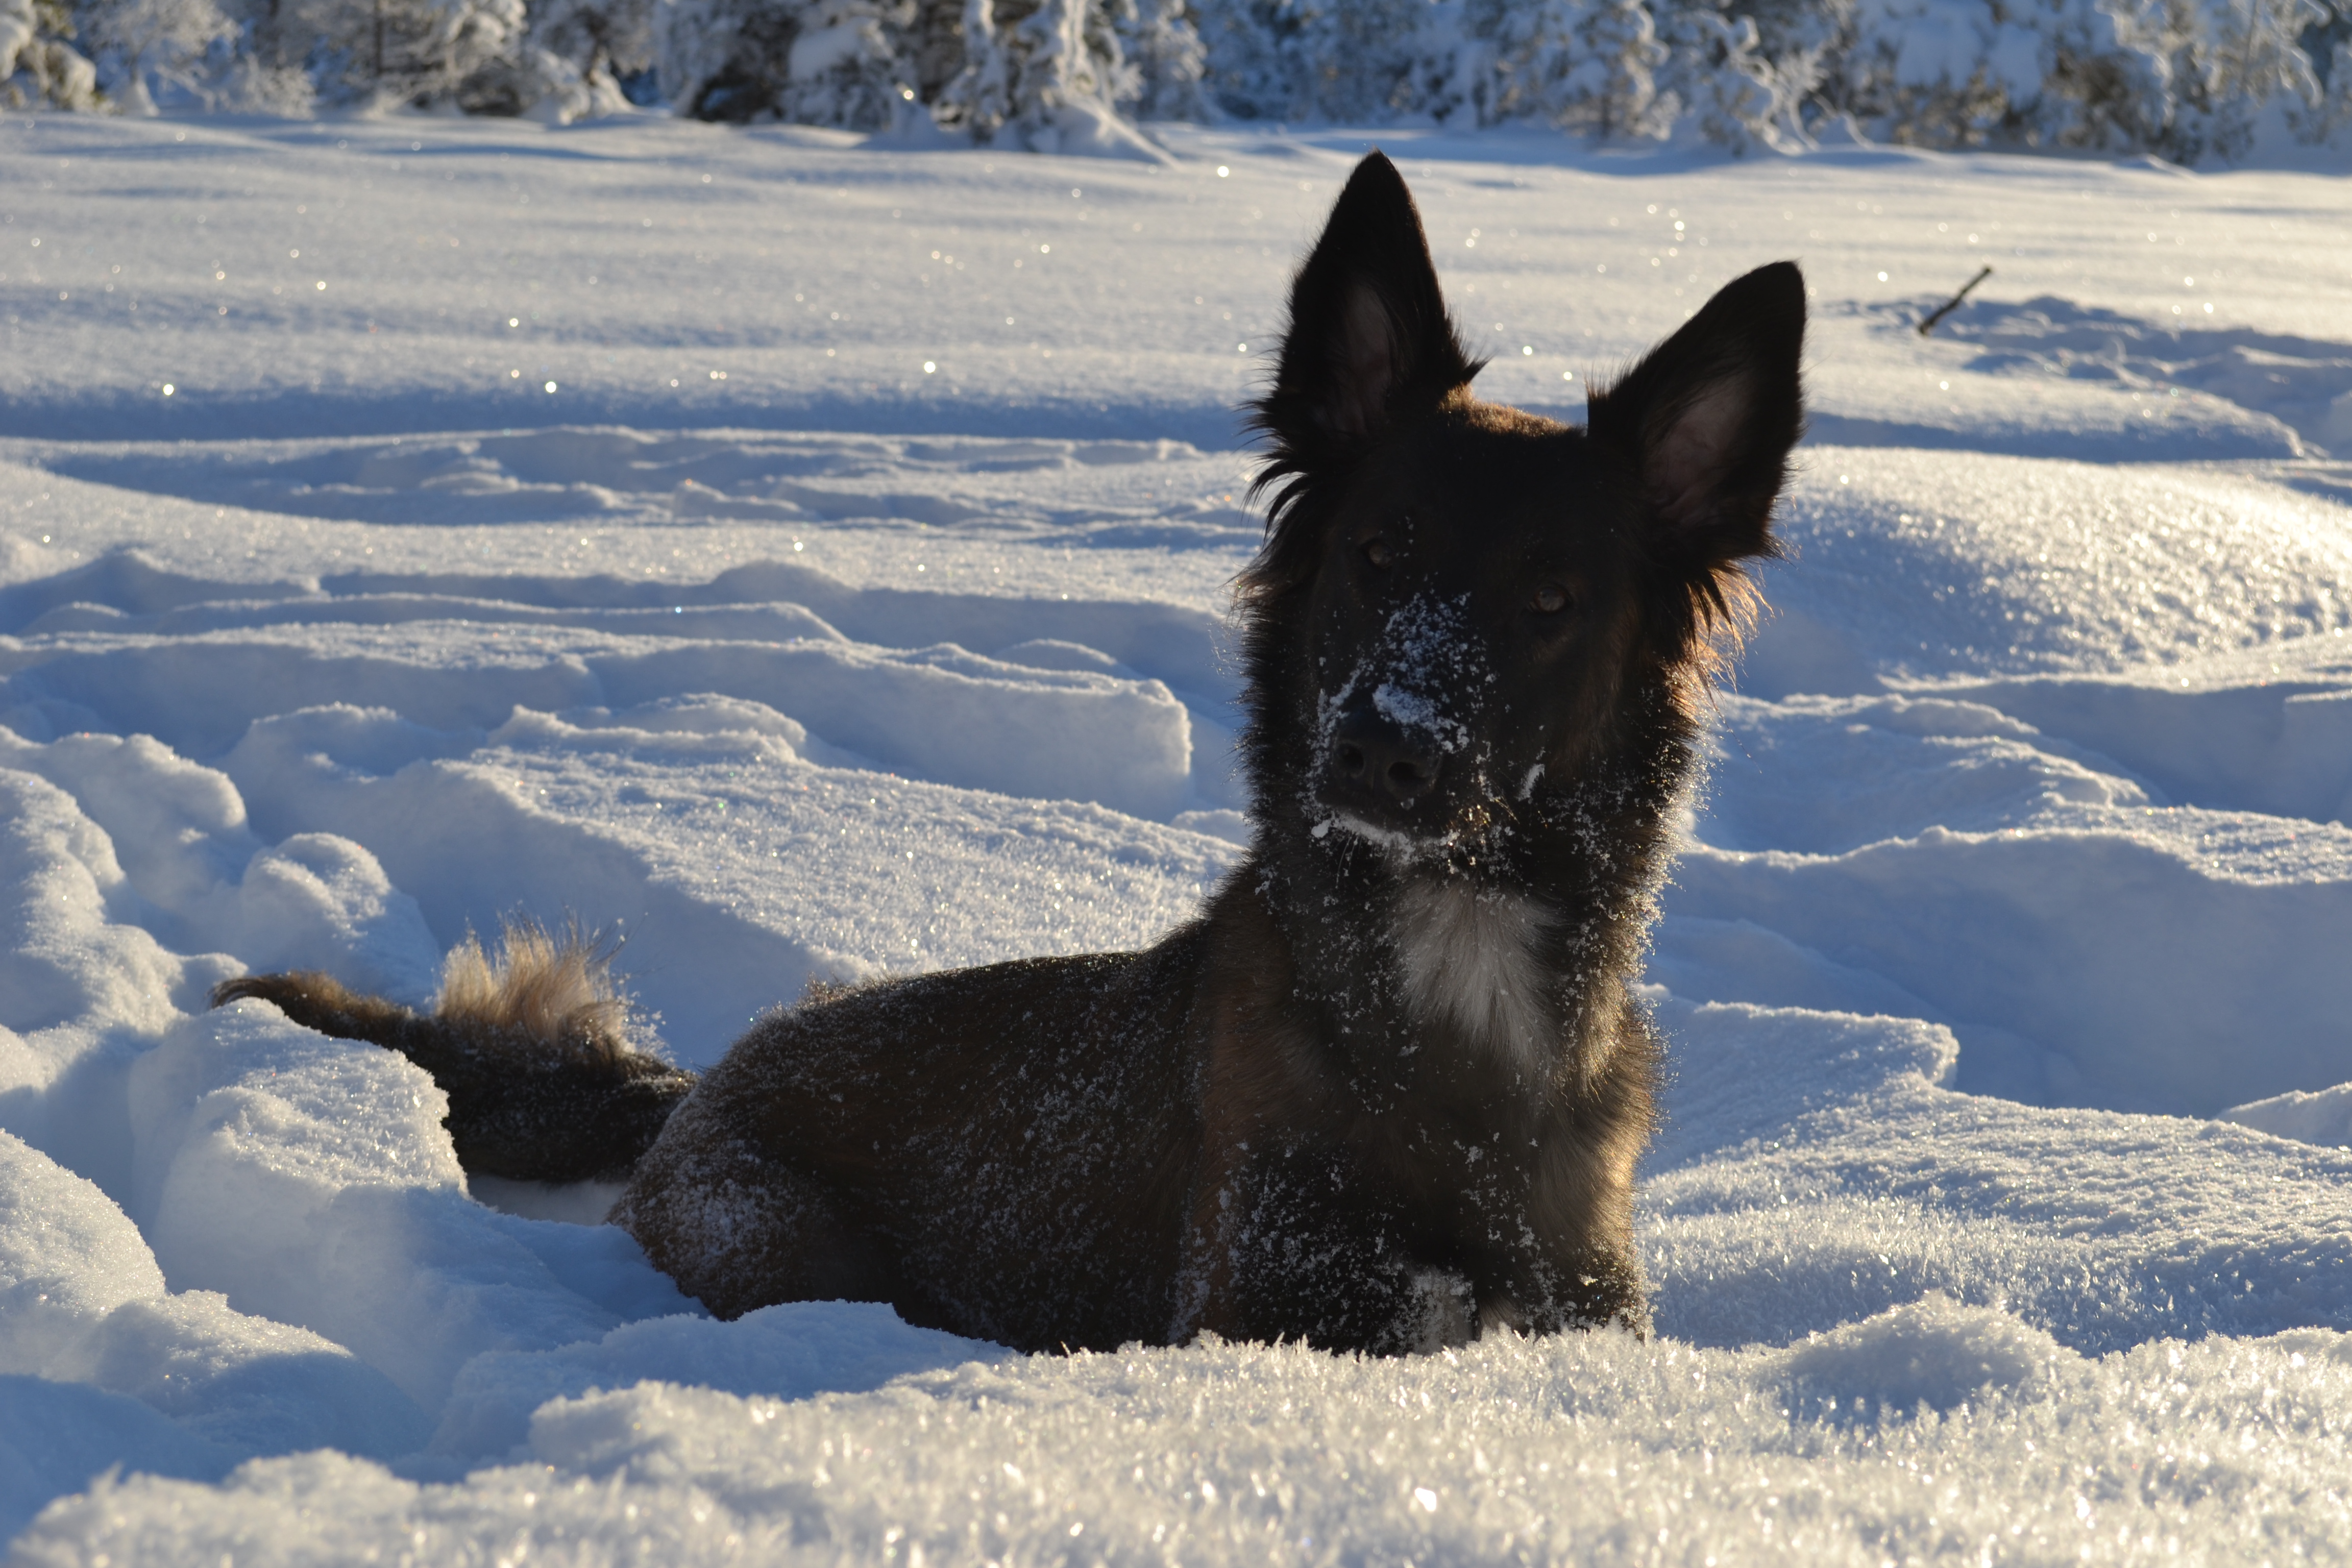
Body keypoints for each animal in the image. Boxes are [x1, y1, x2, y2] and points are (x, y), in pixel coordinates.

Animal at [216, 160, 1797, 1363]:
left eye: (1551, 601)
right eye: (1376, 555)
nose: (1380, 752)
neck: (1451, 979)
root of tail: (711, 1072)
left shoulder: (1586, 1302)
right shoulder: (1258, 1291)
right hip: (786, 1235)